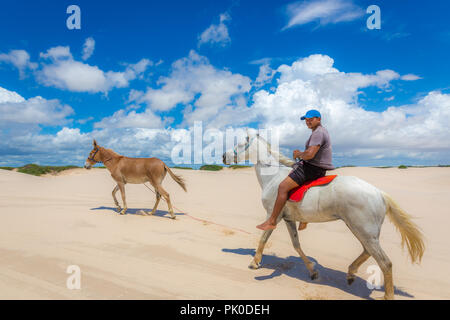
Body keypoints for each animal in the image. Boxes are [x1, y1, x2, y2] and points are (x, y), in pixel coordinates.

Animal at [223, 132, 424, 300]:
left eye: (239, 144)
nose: (224, 156)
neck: (272, 177)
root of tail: (379, 193)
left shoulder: (274, 216)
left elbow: (264, 237)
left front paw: (255, 263)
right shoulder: (288, 219)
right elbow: (296, 245)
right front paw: (312, 271)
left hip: (363, 231)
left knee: (385, 263)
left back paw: (385, 294)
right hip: (362, 230)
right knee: (368, 252)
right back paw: (350, 273)